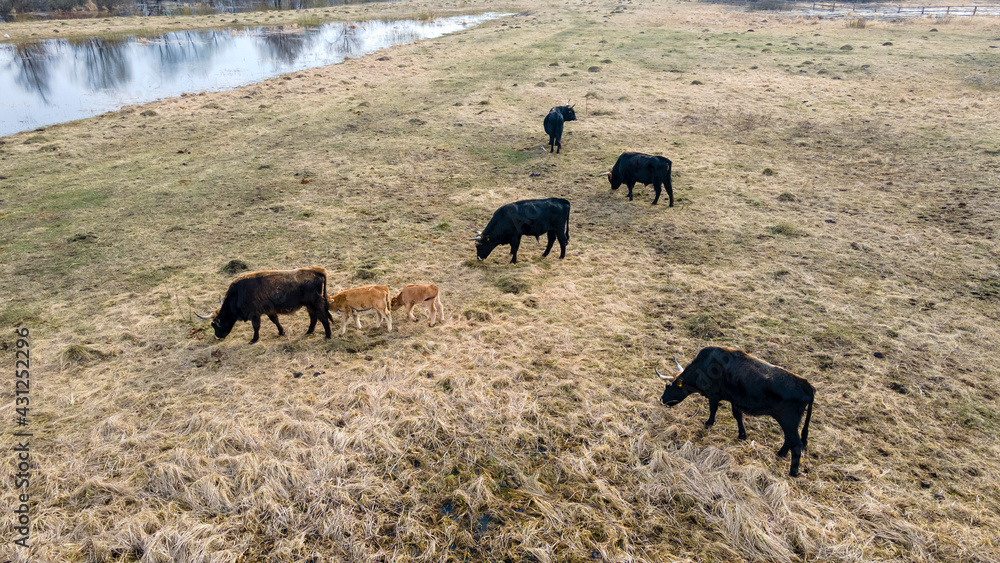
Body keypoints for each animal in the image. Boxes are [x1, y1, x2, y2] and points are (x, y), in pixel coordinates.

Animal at [198, 266, 332, 344]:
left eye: (214, 325)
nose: (218, 336)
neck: (238, 293)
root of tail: (317, 270)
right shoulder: (269, 310)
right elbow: (275, 320)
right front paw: (281, 332)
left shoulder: (255, 314)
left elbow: (256, 326)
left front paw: (254, 339)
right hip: (310, 305)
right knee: (314, 318)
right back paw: (308, 332)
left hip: (315, 303)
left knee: (323, 318)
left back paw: (328, 336)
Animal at [656, 346, 815, 477]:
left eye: (668, 386)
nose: (662, 400)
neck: (704, 366)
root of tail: (806, 384)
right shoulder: (734, 400)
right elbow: (737, 416)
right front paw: (742, 435)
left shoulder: (713, 394)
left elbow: (713, 409)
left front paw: (708, 423)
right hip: (789, 422)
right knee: (789, 439)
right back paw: (780, 454)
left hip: (788, 420)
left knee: (796, 444)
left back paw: (793, 472)